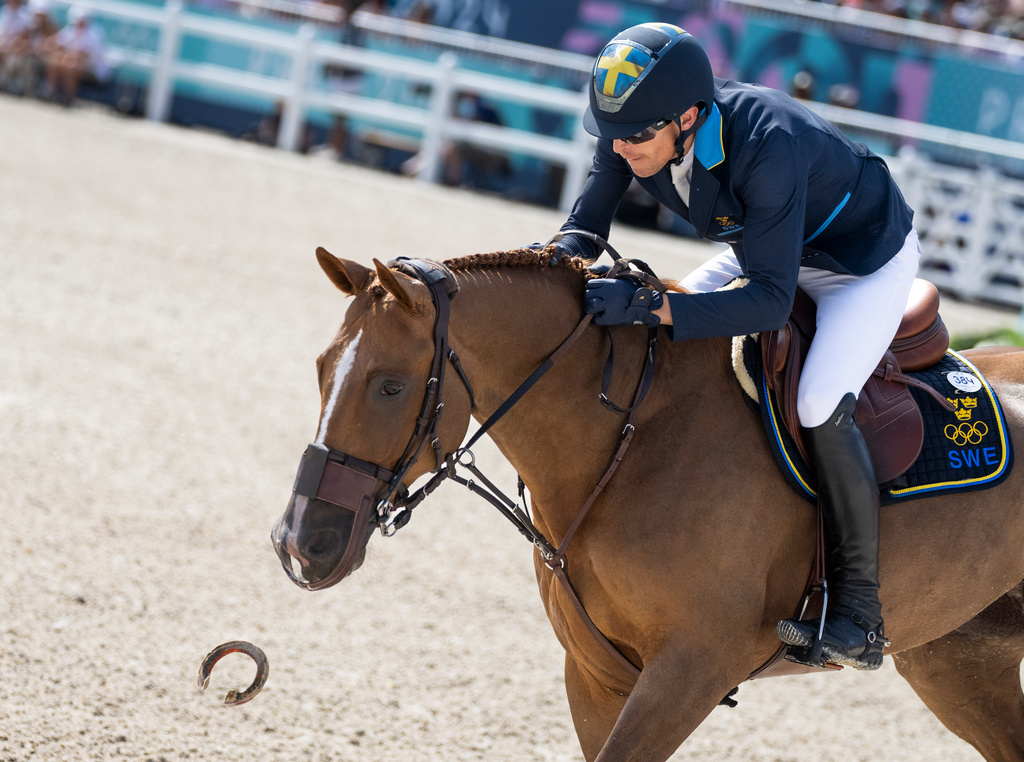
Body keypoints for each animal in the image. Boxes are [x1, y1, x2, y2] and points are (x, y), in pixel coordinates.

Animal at [274, 245, 1024, 762]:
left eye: (391, 386)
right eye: (320, 368)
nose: (300, 544)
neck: (631, 443)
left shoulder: (690, 670)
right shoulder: (598, 672)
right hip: (957, 663)